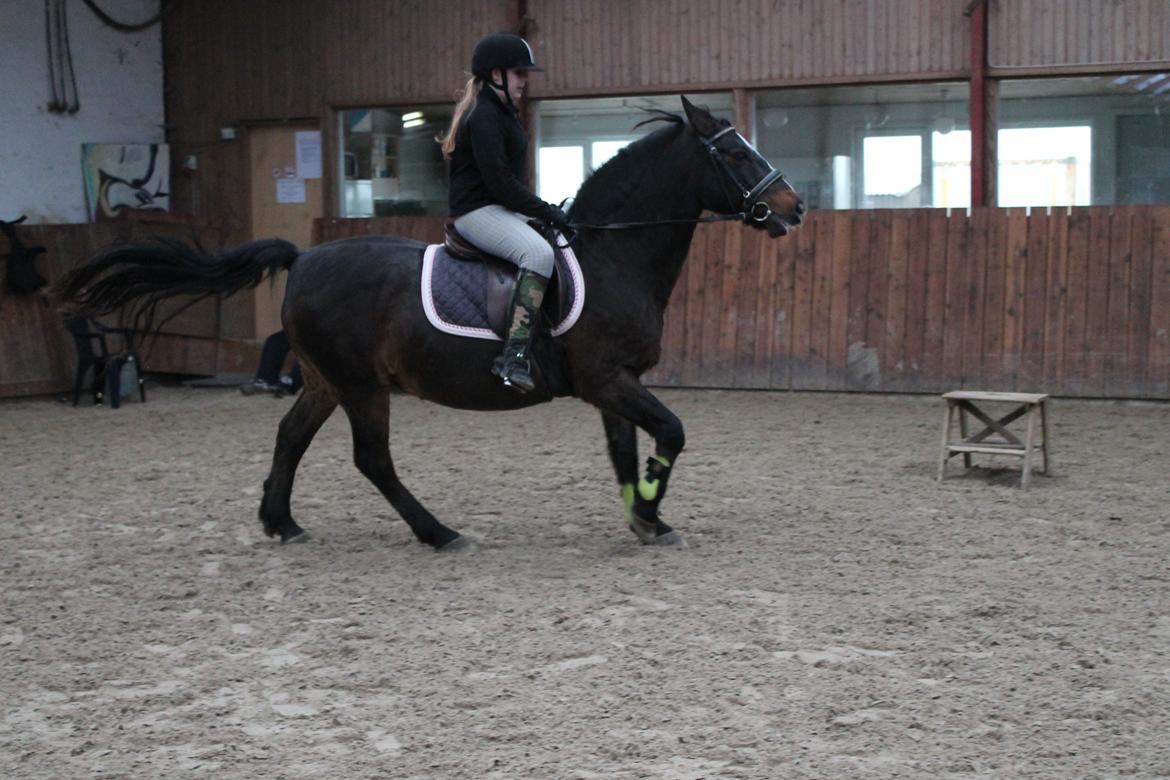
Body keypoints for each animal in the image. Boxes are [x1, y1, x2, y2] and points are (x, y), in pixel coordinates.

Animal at [55, 96, 805, 551]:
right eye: (736, 153)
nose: (793, 208)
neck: (612, 252)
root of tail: (303, 256)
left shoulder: (613, 384)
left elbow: (626, 452)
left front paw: (645, 514)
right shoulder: (607, 380)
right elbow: (671, 432)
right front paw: (649, 510)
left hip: (327, 380)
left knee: (291, 435)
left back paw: (282, 522)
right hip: (363, 388)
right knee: (372, 459)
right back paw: (437, 532)